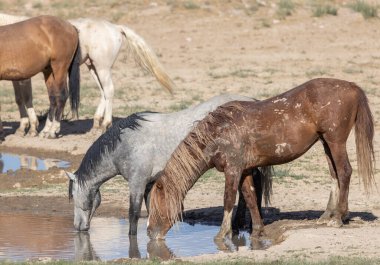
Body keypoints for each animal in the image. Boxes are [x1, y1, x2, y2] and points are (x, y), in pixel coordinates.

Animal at [0, 13, 175, 135]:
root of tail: (116, 27)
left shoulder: (24, 77)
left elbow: (25, 98)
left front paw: (30, 128)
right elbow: (20, 99)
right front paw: (25, 128)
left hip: (100, 67)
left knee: (108, 90)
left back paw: (104, 124)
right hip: (92, 68)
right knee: (103, 92)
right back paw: (96, 124)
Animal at [66, 94, 274, 234]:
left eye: (74, 195)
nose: (77, 227)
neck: (125, 143)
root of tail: (252, 101)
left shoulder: (137, 183)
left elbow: (133, 214)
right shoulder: (150, 183)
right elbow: (151, 209)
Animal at [147, 78, 376, 239]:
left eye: (157, 205)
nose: (149, 231)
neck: (219, 132)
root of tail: (352, 86)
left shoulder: (232, 170)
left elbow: (229, 199)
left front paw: (222, 234)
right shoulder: (245, 170)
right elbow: (249, 197)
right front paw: (257, 230)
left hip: (335, 141)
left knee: (344, 172)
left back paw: (338, 217)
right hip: (326, 143)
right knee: (334, 175)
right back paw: (327, 215)